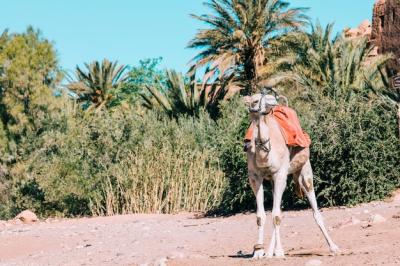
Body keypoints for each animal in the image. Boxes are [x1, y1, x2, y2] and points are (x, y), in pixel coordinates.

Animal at [242, 89, 340, 258]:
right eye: (254, 101)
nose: (273, 100)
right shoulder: (254, 177)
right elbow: (261, 216)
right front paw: (258, 252)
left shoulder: (280, 173)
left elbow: (276, 215)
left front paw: (279, 251)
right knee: (278, 209)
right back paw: (269, 252)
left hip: (304, 169)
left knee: (313, 208)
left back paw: (333, 247)